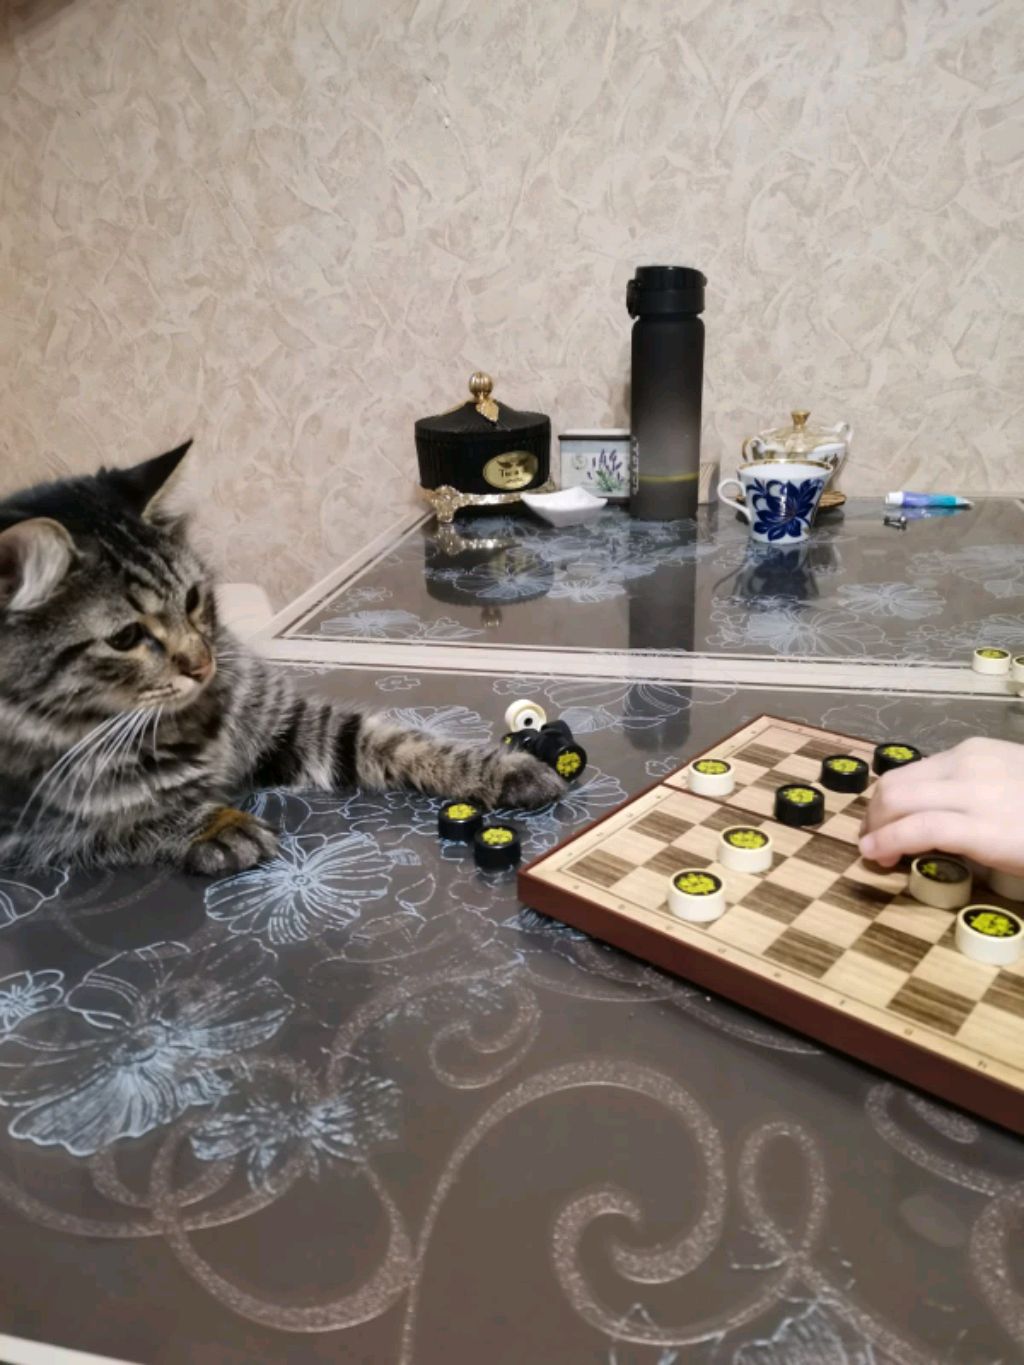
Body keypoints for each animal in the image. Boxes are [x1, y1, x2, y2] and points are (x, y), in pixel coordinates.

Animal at [0, 443, 565, 874]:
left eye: (193, 599)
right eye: (125, 638)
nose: (203, 666)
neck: (196, 723)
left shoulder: (292, 724)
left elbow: (407, 742)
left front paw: (502, 769)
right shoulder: (40, 832)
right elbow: (135, 823)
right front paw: (218, 824)